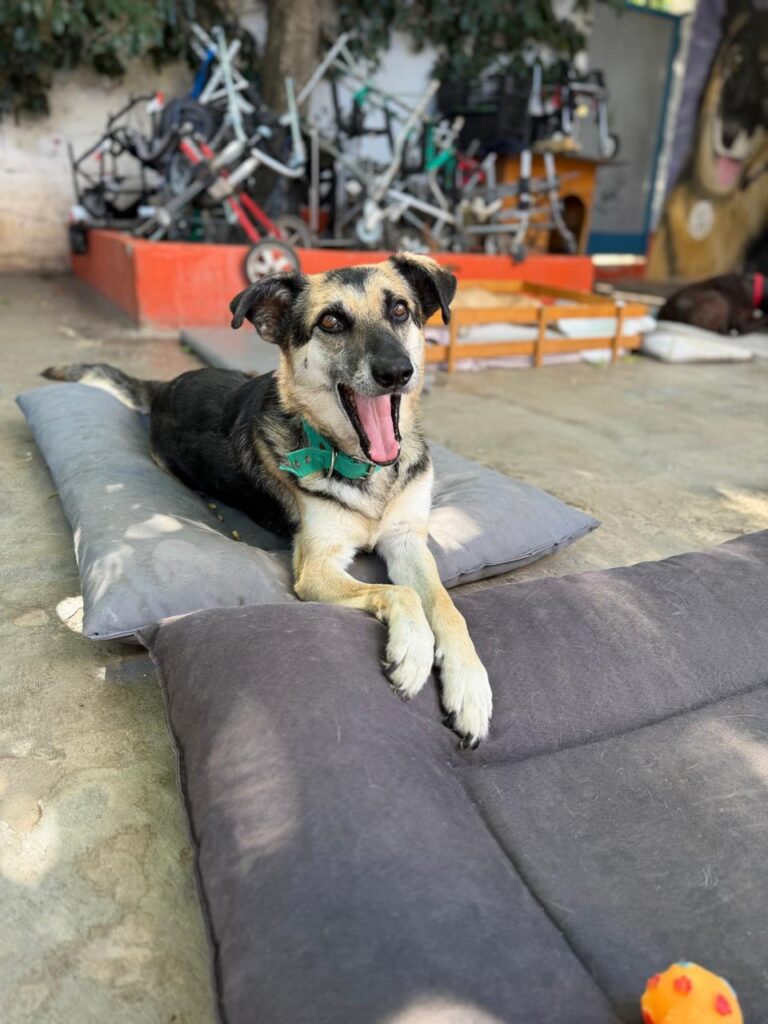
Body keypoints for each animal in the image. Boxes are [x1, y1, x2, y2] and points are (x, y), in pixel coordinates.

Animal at [44, 253, 493, 746]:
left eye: (399, 310)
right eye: (331, 321)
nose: (397, 372)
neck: (366, 469)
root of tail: (166, 385)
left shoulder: (408, 540)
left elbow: (446, 606)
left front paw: (470, 686)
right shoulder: (317, 569)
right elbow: (400, 593)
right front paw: (413, 648)